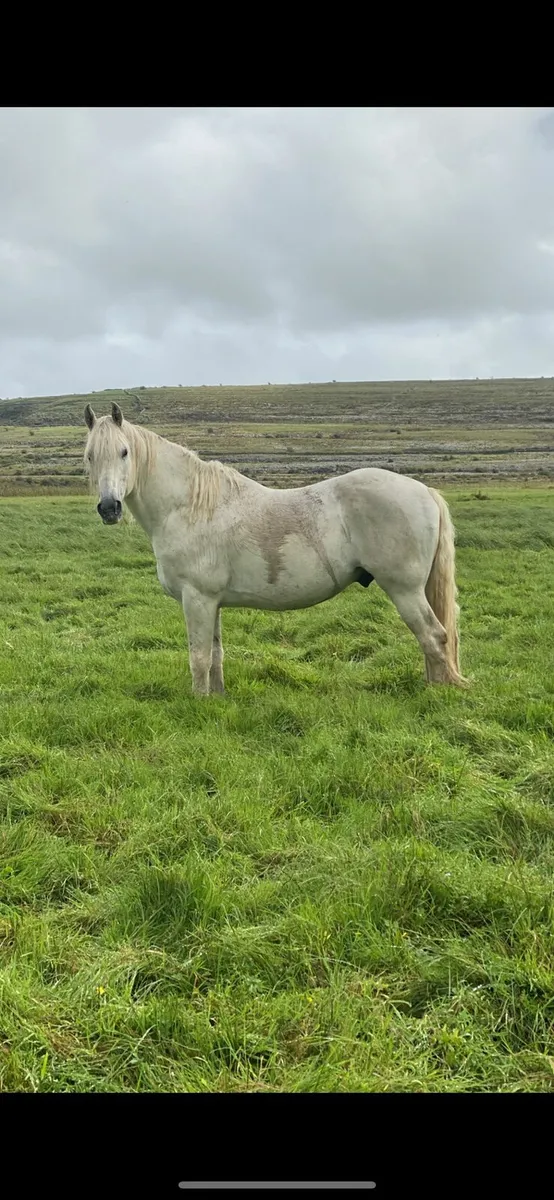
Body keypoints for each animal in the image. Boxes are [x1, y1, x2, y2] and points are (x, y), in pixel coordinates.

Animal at [84, 402, 467, 696]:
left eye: (124, 452)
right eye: (89, 456)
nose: (109, 508)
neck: (189, 505)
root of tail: (424, 490)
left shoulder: (196, 599)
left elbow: (199, 657)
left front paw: (198, 702)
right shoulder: (211, 602)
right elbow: (216, 654)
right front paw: (217, 699)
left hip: (405, 590)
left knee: (434, 636)